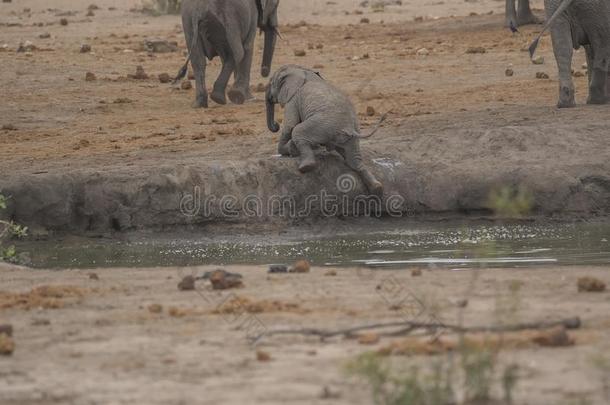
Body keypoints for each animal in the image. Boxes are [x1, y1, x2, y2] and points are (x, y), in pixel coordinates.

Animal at [264, 64, 380, 194]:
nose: (276, 125)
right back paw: (377, 188)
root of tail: (349, 128)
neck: (301, 70)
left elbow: (290, 125)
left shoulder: (293, 98)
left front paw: (285, 150)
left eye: (271, 82)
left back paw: (305, 166)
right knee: (354, 161)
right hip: (350, 136)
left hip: (322, 125)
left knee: (298, 131)